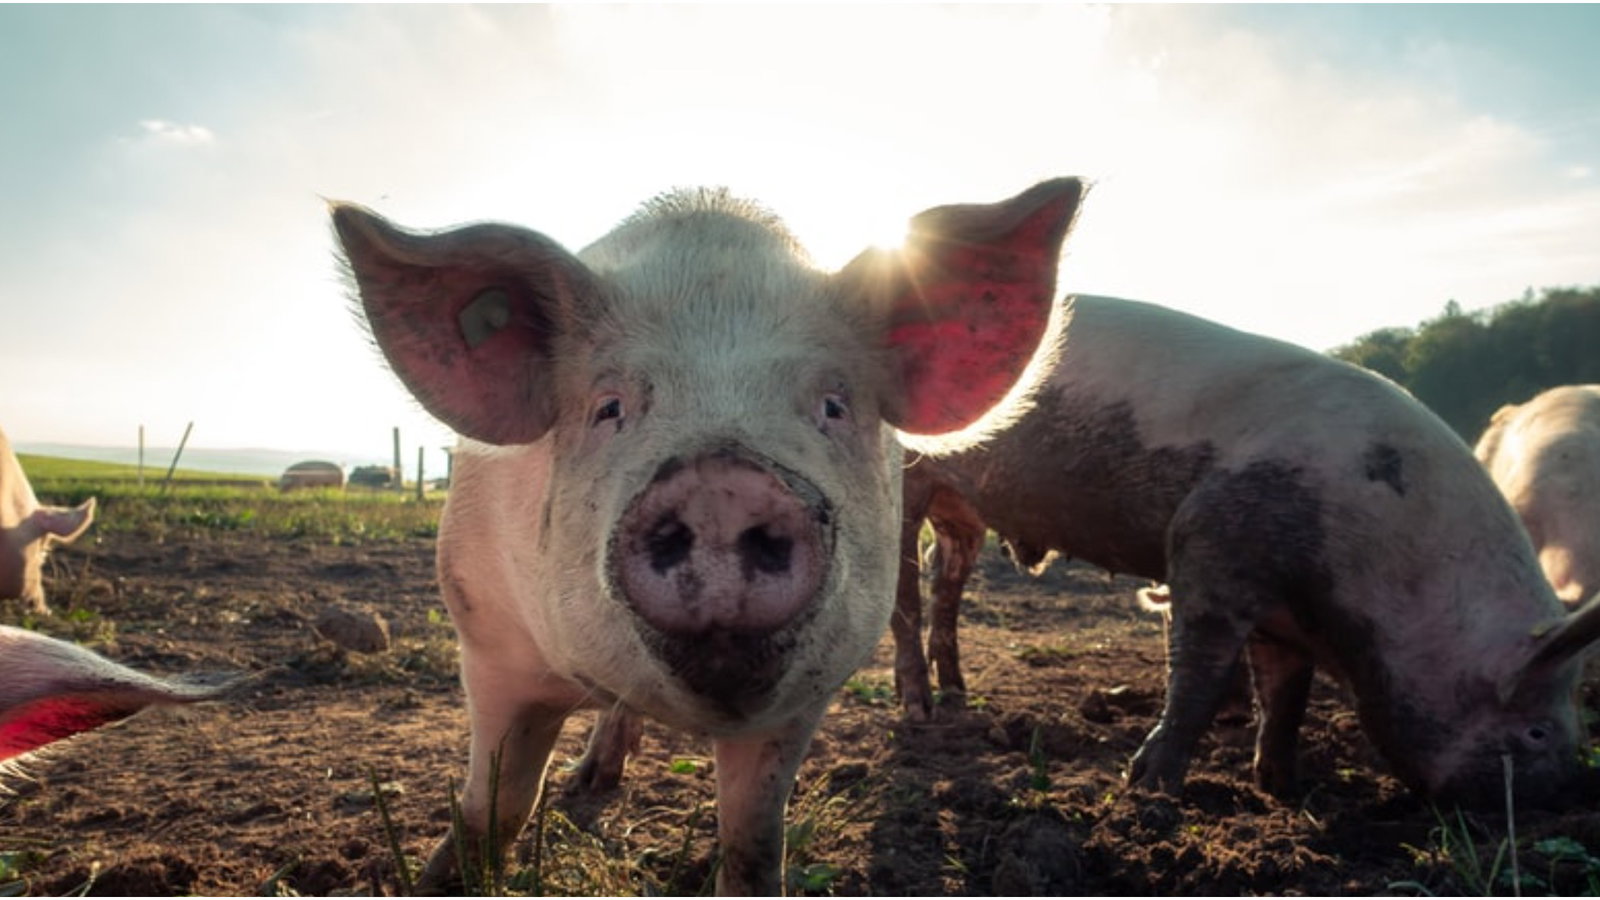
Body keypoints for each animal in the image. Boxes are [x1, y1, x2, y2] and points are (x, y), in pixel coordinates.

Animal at [332, 178, 1085, 894]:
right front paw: (440, 879)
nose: (722, 485)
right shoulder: (488, 640)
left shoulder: (806, 696)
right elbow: (495, 807)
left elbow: (752, 840)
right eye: (609, 407)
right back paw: (588, 782)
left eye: (833, 406)